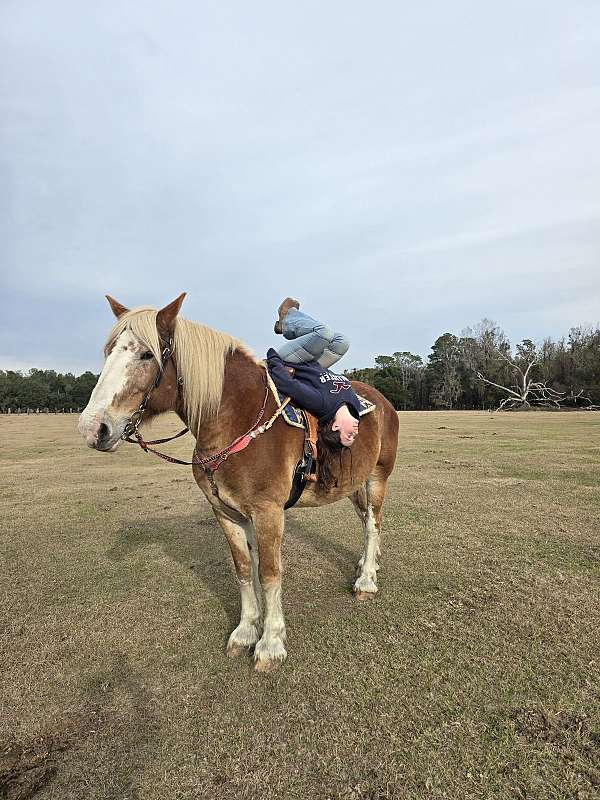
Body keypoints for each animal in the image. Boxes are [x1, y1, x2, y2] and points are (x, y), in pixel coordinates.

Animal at [78, 292, 398, 668]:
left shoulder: (268, 512)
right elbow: (244, 568)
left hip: (378, 477)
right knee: (364, 521)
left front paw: (270, 643)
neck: (236, 419)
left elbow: (270, 574)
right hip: (353, 481)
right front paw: (246, 631)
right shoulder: (226, 513)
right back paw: (365, 564)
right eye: (109, 352)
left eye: (146, 354)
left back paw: (366, 581)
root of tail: (382, 401)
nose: (93, 428)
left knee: (373, 523)